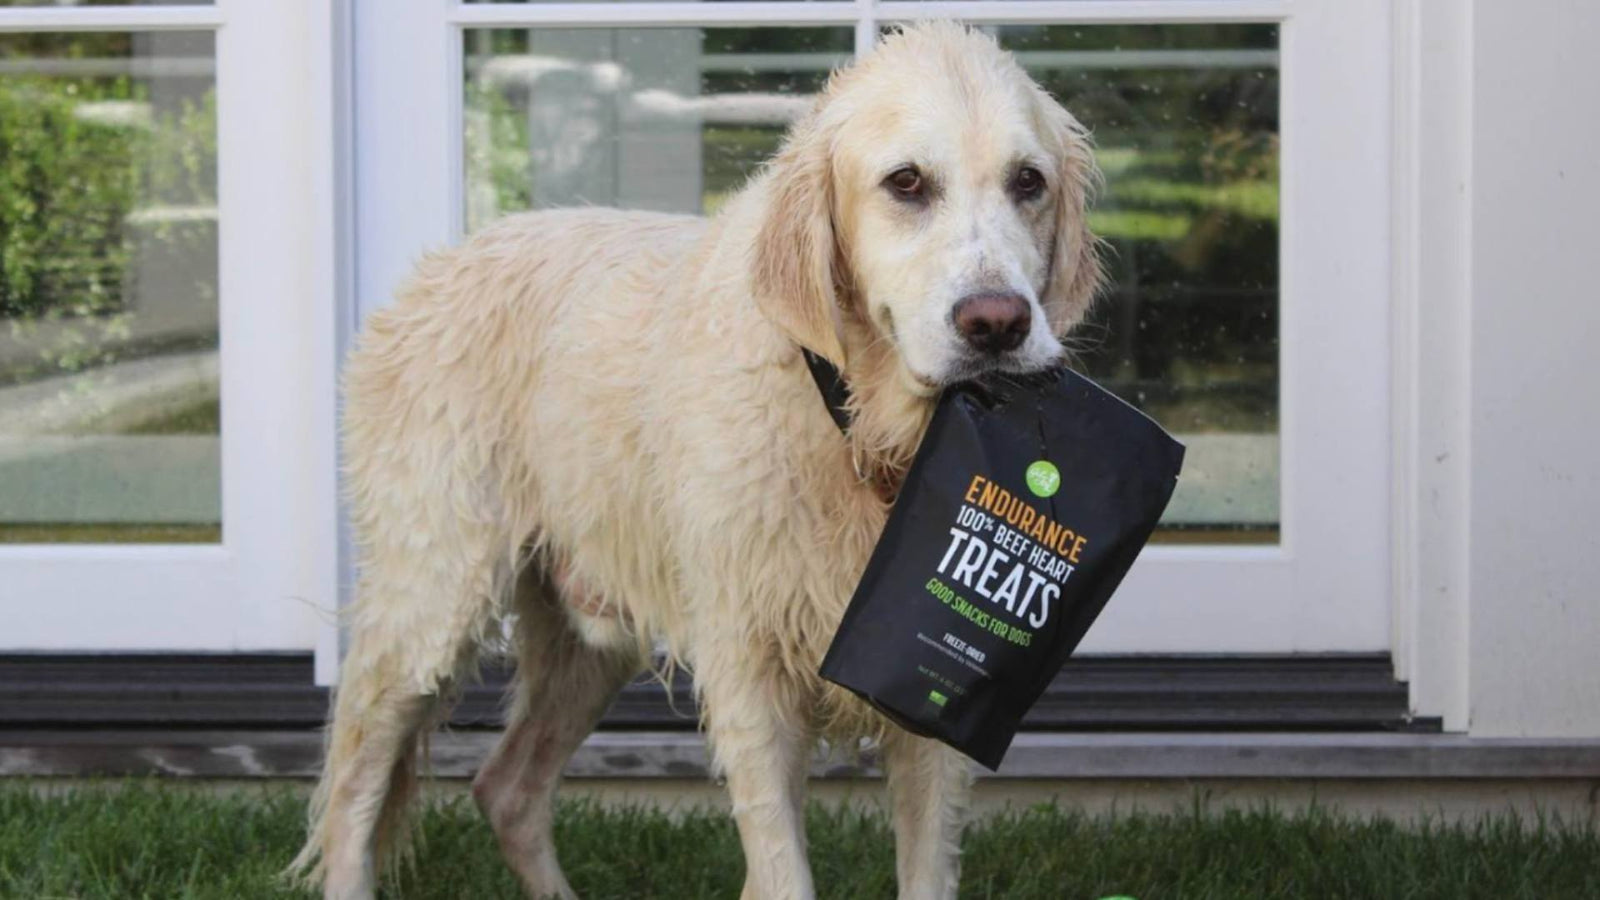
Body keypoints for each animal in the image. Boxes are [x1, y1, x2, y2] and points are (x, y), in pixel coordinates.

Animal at [291, 21, 1100, 896]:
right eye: (907, 182)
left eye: (1029, 182)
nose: (998, 323)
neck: (860, 432)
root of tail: (431, 270)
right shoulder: (750, 676)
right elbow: (783, 870)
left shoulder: (927, 702)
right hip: (431, 603)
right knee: (352, 786)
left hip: (590, 639)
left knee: (505, 786)